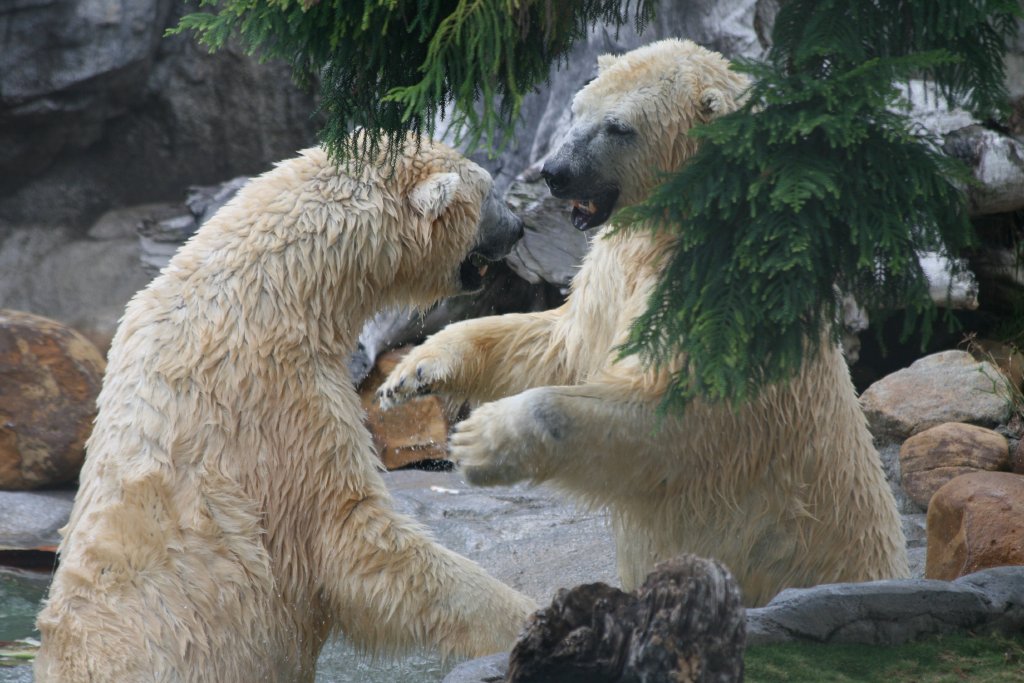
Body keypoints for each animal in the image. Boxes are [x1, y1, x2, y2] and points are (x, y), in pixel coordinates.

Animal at [34, 134, 536, 683]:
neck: (273, 288)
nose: (519, 226)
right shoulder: (277, 399)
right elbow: (351, 536)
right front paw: (524, 615)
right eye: (486, 189)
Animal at [378, 39, 910, 607]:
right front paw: (415, 370)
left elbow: (672, 418)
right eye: (577, 110)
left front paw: (479, 439)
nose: (555, 172)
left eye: (618, 127)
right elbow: (560, 345)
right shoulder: (614, 267)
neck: (689, 222)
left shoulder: (718, 301)